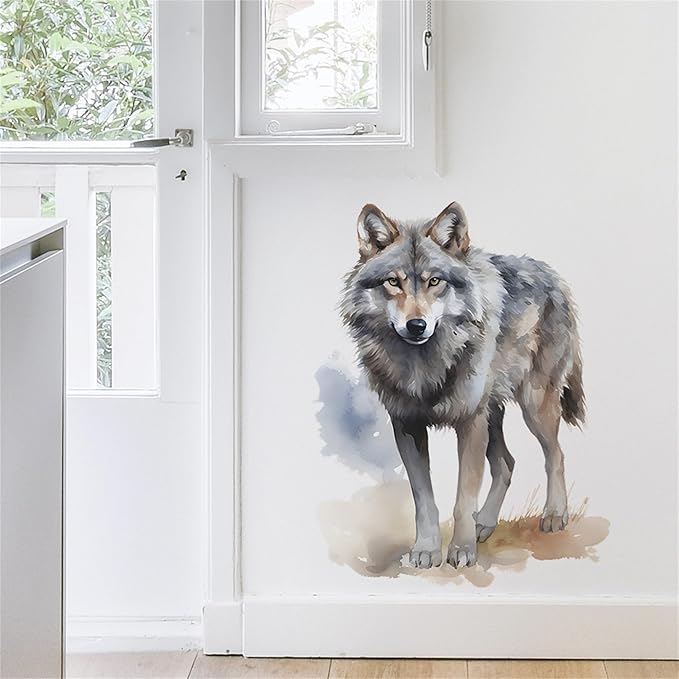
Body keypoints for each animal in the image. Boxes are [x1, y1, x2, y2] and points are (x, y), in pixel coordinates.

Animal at [341, 202, 584, 569]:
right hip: (493, 414)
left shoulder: (469, 423)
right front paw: (426, 550)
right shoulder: (407, 427)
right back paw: (485, 523)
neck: (422, 365)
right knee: (506, 464)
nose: (417, 325)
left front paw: (462, 550)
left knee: (555, 454)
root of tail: (553, 275)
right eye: (393, 282)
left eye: (435, 281)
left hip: (533, 407)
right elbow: (424, 501)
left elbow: (462, 499)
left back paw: (555, 515)